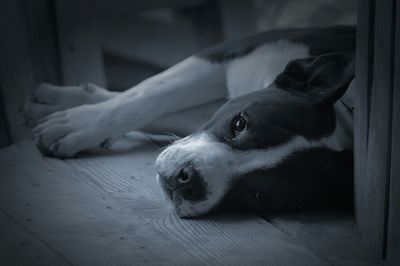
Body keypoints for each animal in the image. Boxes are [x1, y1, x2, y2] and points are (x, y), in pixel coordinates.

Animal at [23, 25, 356, 218]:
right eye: (239, 124)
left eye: (260, 195)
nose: (188, 180)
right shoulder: (230, 51)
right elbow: (152, 94)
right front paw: (77, 124)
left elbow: (169, 109)